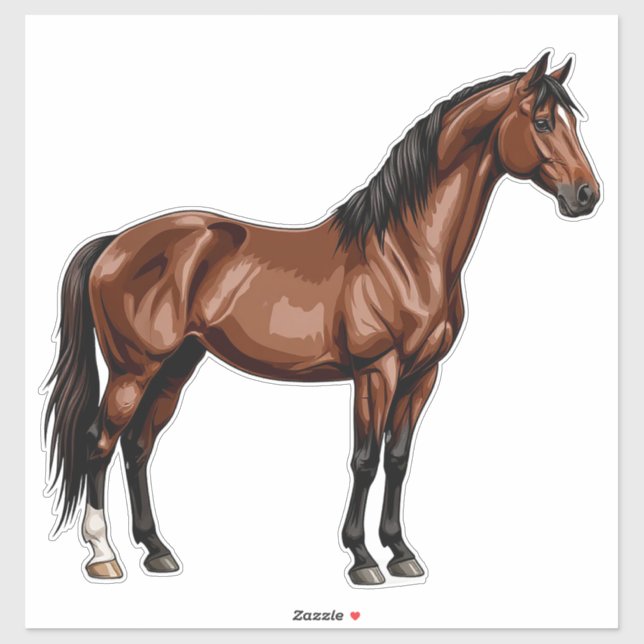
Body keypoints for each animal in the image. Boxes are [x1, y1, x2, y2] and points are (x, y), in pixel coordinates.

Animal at [43, 51, 601, 585]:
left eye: (574, 121)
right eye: (543, 121)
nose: (587, 195)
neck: (406, 252)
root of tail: (113, 243)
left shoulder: (422, 375)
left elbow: (398, 460)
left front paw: (401, 552)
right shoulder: (377, 371)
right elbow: (365, 460)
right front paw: (362, 558)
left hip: (176, 366)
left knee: (137, 447)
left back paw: (157, 551)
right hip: (132, 371)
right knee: (99, 442)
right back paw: (103, 555)